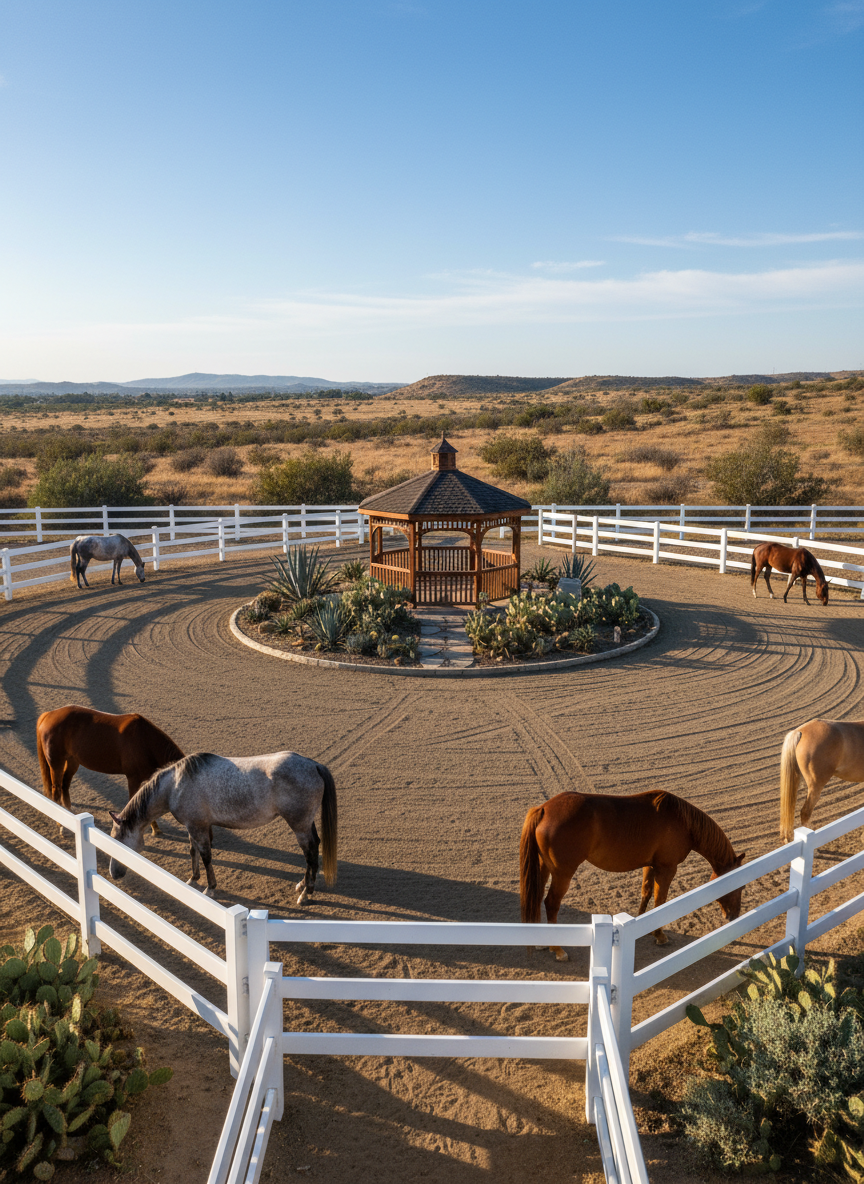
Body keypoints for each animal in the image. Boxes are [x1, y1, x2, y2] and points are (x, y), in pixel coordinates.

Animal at [37, 705, 184, 836]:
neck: (145, 741)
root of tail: (48, 715)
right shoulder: (133, 779)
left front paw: (155, 828)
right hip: (57, 764)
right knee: (56, 790)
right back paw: (61, 825)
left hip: (72, 761)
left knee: (65, 786)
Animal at [108, 751, 338, 903]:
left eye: (119, 842)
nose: (113, 874)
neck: (175, 786)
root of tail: (313, 765)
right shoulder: (193, 826)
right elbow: (193, 852)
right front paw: (193, 879)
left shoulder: (199, 827)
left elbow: (206, 856)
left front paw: (210, 888)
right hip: (306, 823)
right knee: (314, 848)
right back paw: (302, 885)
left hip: (299, 825)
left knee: (310, 853)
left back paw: (306, 894)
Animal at [520, 790, 745, 959]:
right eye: (741, 886)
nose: (733, 916)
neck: (683, 822)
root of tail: (544, 809)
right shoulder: (667, 868)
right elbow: (660, 900)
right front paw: (659, 935)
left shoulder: (650, 865)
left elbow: (646, 892)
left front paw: (643, 922)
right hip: (562, 874)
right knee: (551, 903)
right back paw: (557, 949)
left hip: (544, 868)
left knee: (537, 897)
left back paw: (539, 941)